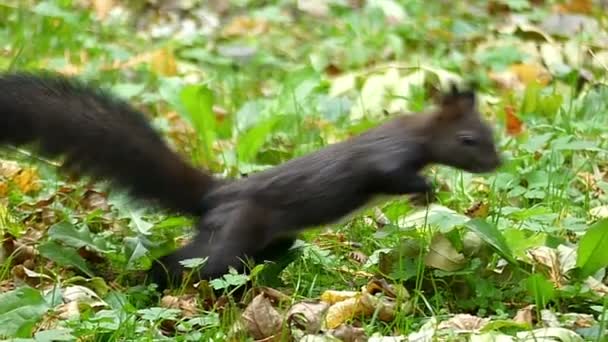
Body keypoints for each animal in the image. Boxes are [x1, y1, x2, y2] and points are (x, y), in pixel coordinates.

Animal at [0, 71, 504, 288]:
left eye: (491, 132)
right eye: (468, 140)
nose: (496, 163)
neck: (419, 134)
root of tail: (214, 196)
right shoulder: (384, 157)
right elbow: (391, 176)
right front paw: (428, 190)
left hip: (274, 239)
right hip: (233, 234)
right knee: (191, 262)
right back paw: (151, 283)